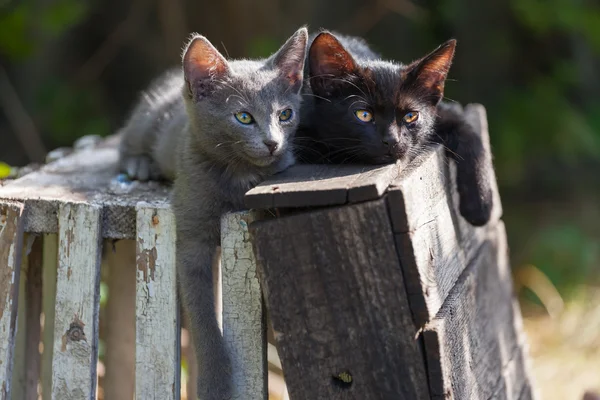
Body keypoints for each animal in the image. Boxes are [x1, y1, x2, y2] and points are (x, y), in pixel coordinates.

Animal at [116, 26, 308, 398]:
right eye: (244, 117)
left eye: (285, 115)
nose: (273, 143)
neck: (239, 176)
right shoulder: (191, 235)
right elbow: (203, 317)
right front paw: (215, 384)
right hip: (149, 119)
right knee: (128, 140)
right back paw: (138, 164)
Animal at [298, 32, 492, 227]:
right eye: (363, 115)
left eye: (411, 116)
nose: (392, 140)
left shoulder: (442, 115)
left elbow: (469, 132)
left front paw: (480, 204)